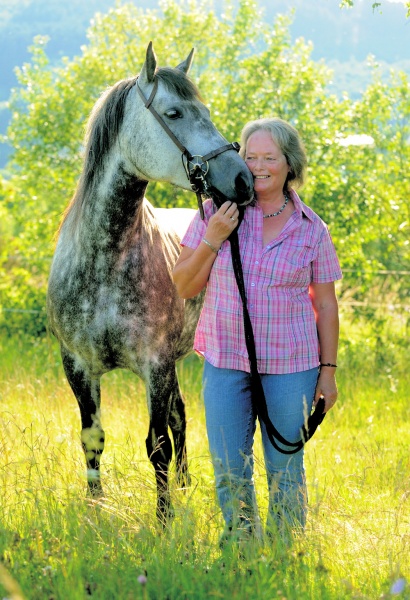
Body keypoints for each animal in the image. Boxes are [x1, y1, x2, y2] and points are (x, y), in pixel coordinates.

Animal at [46, 42, 254, 524]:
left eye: (206, 111)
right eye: (174, 113)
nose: (242, 179)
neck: (104, 261)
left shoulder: (154, 365)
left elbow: (157, 444)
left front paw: (164, 520)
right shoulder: (77, 366)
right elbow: (92, 438)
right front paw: (95, 506)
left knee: (178, 420)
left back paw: (183, 485)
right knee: (178, 415)